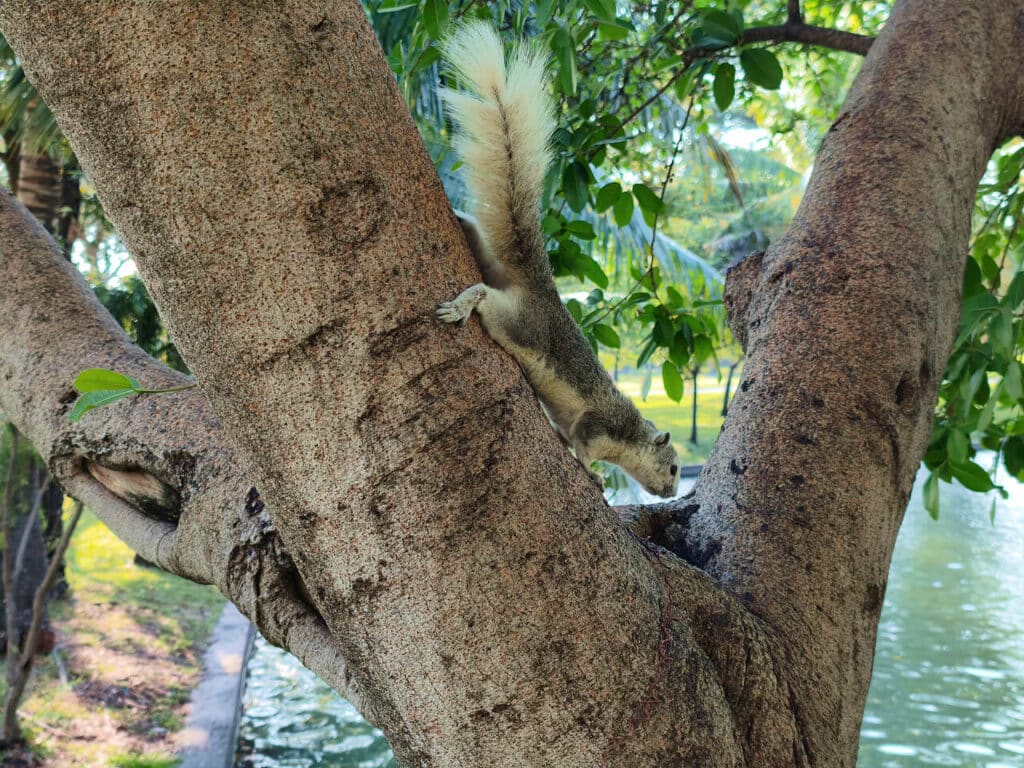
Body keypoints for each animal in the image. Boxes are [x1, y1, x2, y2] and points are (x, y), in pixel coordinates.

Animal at [435, 23, 681, 498]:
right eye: (675, 467)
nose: (671, 493)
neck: (632, 436)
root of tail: (540, 292)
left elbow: (569, 438)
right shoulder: (598, 425)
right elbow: (584, 447)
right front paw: (595, 475)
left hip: (493, 272)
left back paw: (461, 219)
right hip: (520, 327)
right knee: (485, 297)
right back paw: (460, 305)